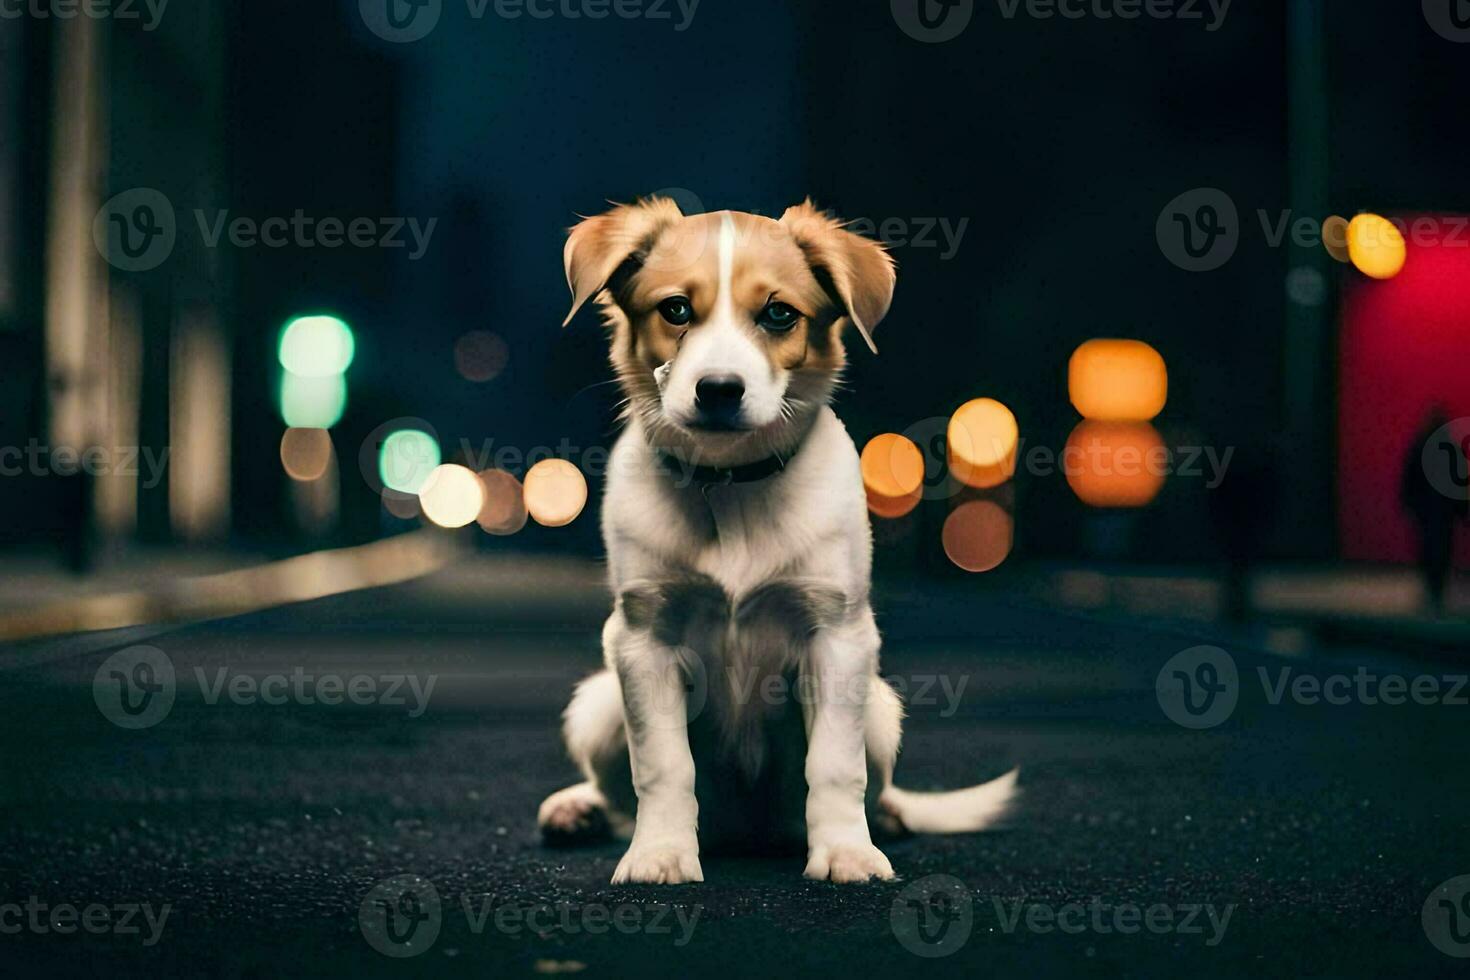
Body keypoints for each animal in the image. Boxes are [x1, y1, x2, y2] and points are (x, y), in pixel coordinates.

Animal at [535, 195, 1017, 887]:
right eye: (675, 309)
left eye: (779, 313)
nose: (719, 389)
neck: (729, 486)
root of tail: (744, 834)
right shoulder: (642, 638)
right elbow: (662, 766)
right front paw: (661, 854)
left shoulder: (838, 635)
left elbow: (836, 767)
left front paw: (846, 853)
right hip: (598, 703)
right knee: (616, 788)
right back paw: (580, 810)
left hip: (879, 709)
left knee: (873, 787)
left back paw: (885, 822)